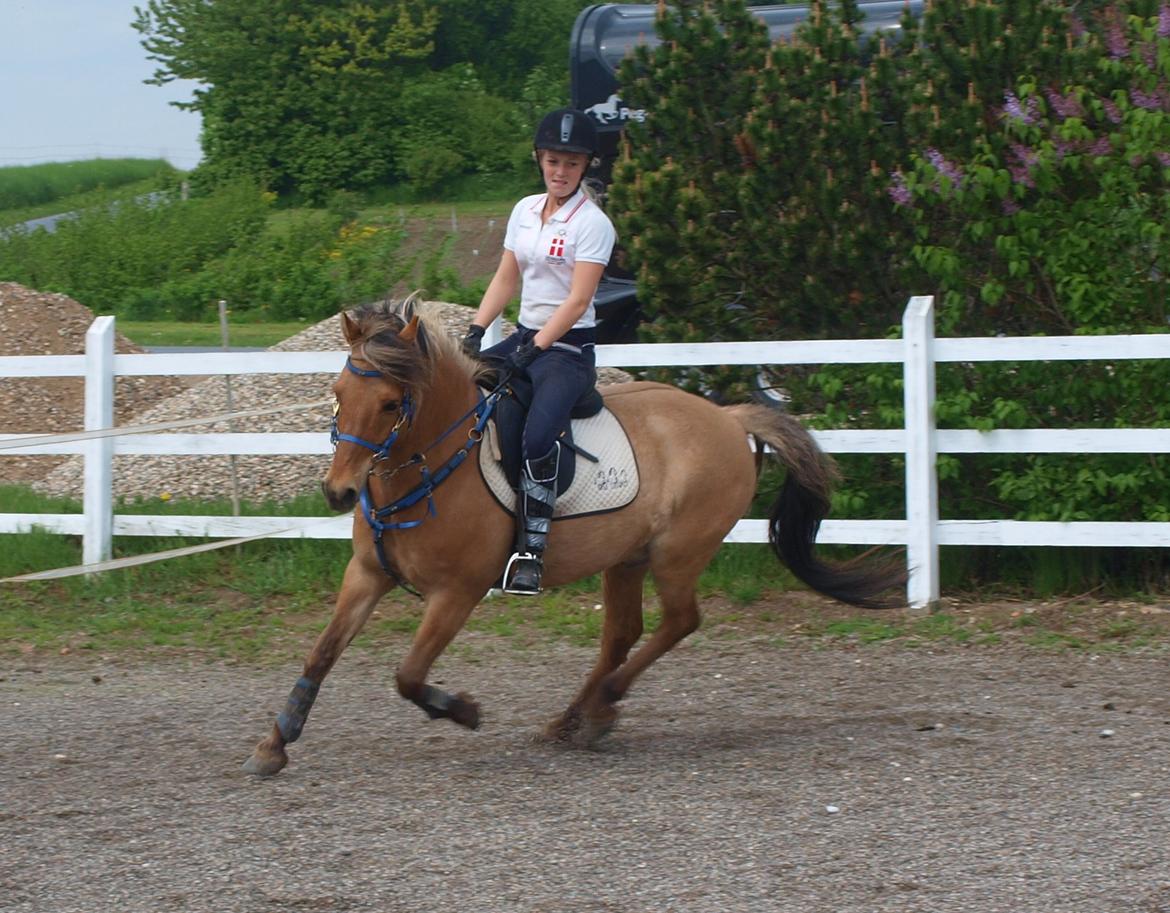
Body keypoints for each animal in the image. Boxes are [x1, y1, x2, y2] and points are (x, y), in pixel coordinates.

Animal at [243, 294, 905, 776]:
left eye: (388, 403)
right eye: (337, 393)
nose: (338, 493)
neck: (430, 466)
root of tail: (727, 415)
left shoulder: (458, 593)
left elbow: (407, 674)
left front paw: (465, 711)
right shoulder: (367, 574)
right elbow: (322, 652)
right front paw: (276, 744)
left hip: (678, 553)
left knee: (678, 622)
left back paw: (602, 702)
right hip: (627, 557)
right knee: (624, 633)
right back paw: (577, 717)